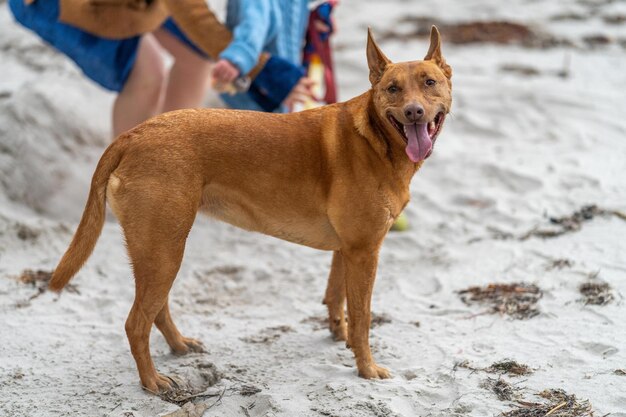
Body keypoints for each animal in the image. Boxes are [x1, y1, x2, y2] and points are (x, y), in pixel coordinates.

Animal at [48, 27, 448, 392]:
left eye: (430, 82)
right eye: (393, 89)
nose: (414, 112)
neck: (377, 137)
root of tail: (132, 135)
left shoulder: (348, 249)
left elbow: (337, 300)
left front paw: (341, 337)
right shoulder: (365, 251)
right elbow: (363, 317)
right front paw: (366, 368)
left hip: (158, 250)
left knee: (155, 310)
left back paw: (178, 346)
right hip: (165, 249)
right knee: (136, 323)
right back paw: (152, 382)